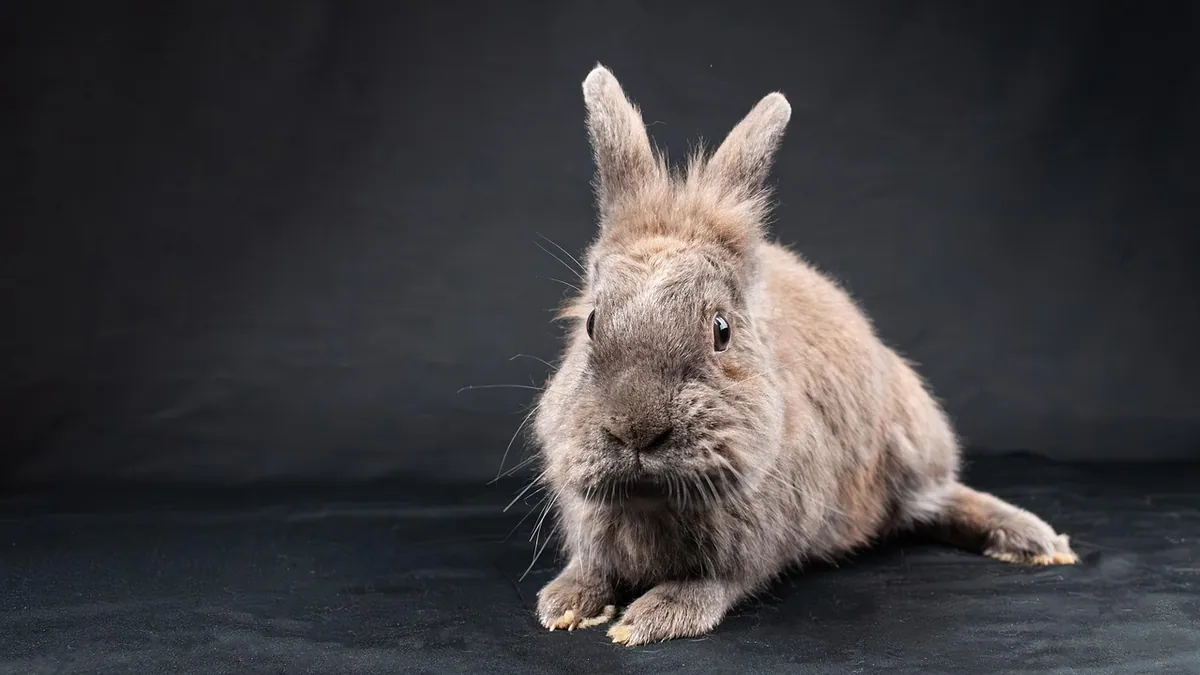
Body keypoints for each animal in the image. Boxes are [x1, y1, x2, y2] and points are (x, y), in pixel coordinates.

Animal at [528, 64, 1079, 647]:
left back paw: (1036, 543)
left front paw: (652, 619)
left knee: (938, 497)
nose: (637, 429)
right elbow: (591, 568)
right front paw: (565, 604)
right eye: (591, 322)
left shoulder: (757, 542)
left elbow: (715, 583)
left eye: (721, 330)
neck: (651, 500)